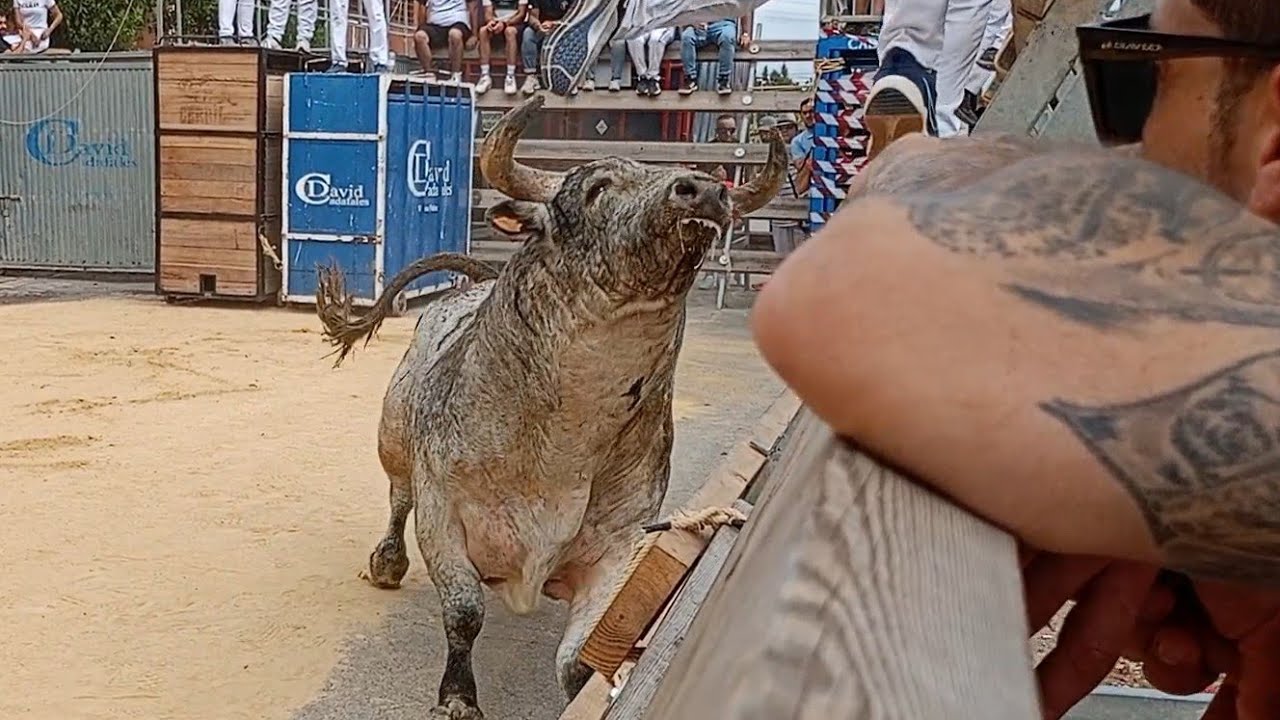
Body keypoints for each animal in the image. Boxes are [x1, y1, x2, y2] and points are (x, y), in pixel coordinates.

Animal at [314, 94, 786, 719]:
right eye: (598, 187)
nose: (705, 191)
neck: (562, 447)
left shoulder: (618, 546)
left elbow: (583, 657)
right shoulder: (444, 517)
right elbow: (464, 612)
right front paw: (457, 697)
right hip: (392, 437)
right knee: (398, 496)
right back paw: (387, 562)